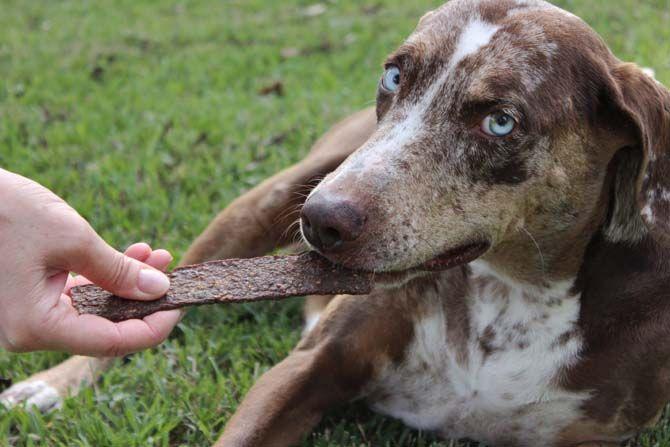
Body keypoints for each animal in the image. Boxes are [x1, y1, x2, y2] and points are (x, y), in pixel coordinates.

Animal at [1, 0, 670, 447]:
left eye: (501, 121)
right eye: (395, 74)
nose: (320, 218)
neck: (509, 295)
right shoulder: (306, 368)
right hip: (259, 204)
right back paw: (54, 382)